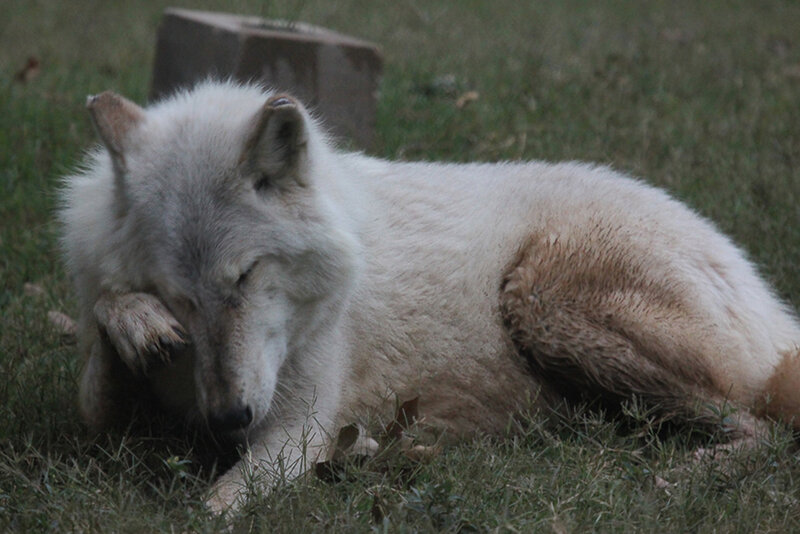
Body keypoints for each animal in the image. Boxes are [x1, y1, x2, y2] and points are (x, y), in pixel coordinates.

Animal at [59, 81, 800, 513]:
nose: (228, 418)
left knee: (763, 430)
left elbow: (209, 511)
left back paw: (686, 476)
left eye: (244, 277)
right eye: (177, 295)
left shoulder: (297, 426)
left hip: (539, 299)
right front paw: (135, 322)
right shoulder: (108, 426)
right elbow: (99, 351)